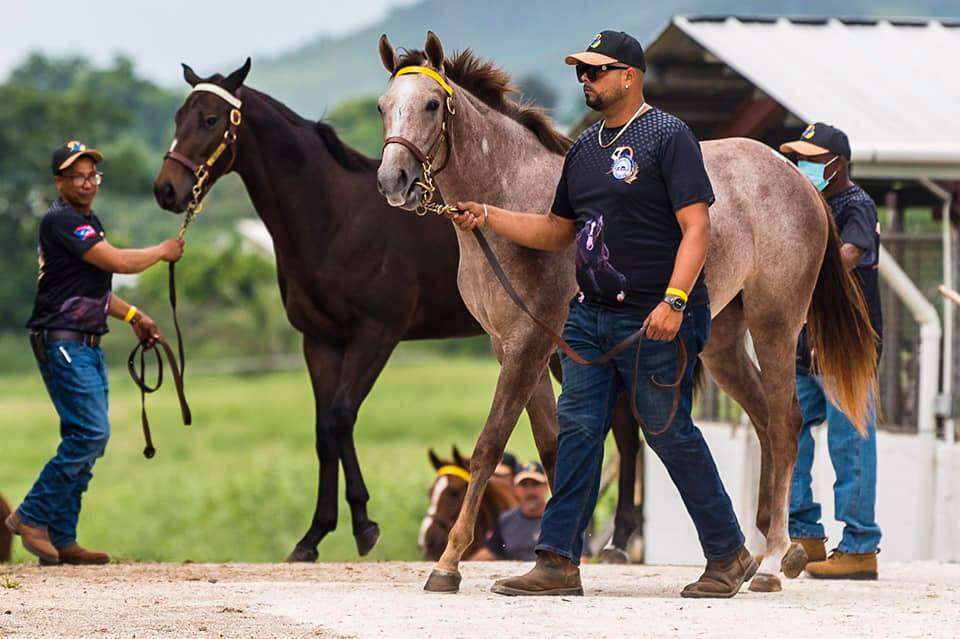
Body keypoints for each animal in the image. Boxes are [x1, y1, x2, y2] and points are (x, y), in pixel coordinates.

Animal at [153, 59, 484, 563]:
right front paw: (313, 536)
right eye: (176, 117)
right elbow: (322, 432)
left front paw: (364, 525)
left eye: (209, 119)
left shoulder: (376, 334)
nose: (166, 190)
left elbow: (340, 416)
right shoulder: (321, 341)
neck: (335, 218)